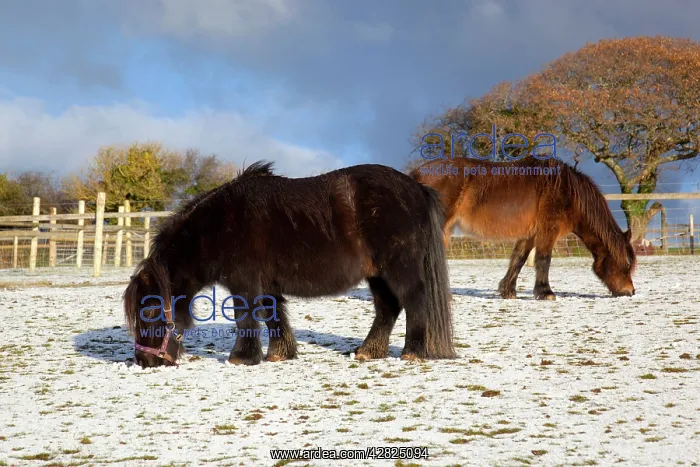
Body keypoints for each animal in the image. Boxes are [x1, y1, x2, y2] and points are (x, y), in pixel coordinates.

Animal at [124, 161, 456, 368]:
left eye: (150, 311)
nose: (145, 362)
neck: (219, 225)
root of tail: (416, 188)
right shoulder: (267, 285)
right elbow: (274, 316)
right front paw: (280, 354)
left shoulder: (244, 283)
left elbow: (246, 317)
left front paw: (242, 357)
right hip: (377, 275)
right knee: (388, 308)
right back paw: (368, 352)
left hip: (399, 268)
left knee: (415, 302)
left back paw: (413, 352)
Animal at [411, 157, 636, 300]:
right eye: (626, 265)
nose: (630, 291)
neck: (567, 191)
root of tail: (417, 173)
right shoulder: (548, 230)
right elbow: (543, 259)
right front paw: (545, 293)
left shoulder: (529, 235)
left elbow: (518, 259)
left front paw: (508, 291)